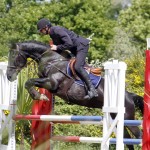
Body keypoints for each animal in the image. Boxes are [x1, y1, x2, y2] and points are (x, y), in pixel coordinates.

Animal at [6, 40, 144, 149]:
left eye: (14, 56)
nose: (9, 76)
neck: (52, 59)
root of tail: (130, 96)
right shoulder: (47, 83)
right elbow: (30, 83)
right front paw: (40, 96)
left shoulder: (51, 83)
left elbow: (29, 81)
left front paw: (39, 96)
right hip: (116, 119)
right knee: (128, 141)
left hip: (127, 118)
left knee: (138, 136)